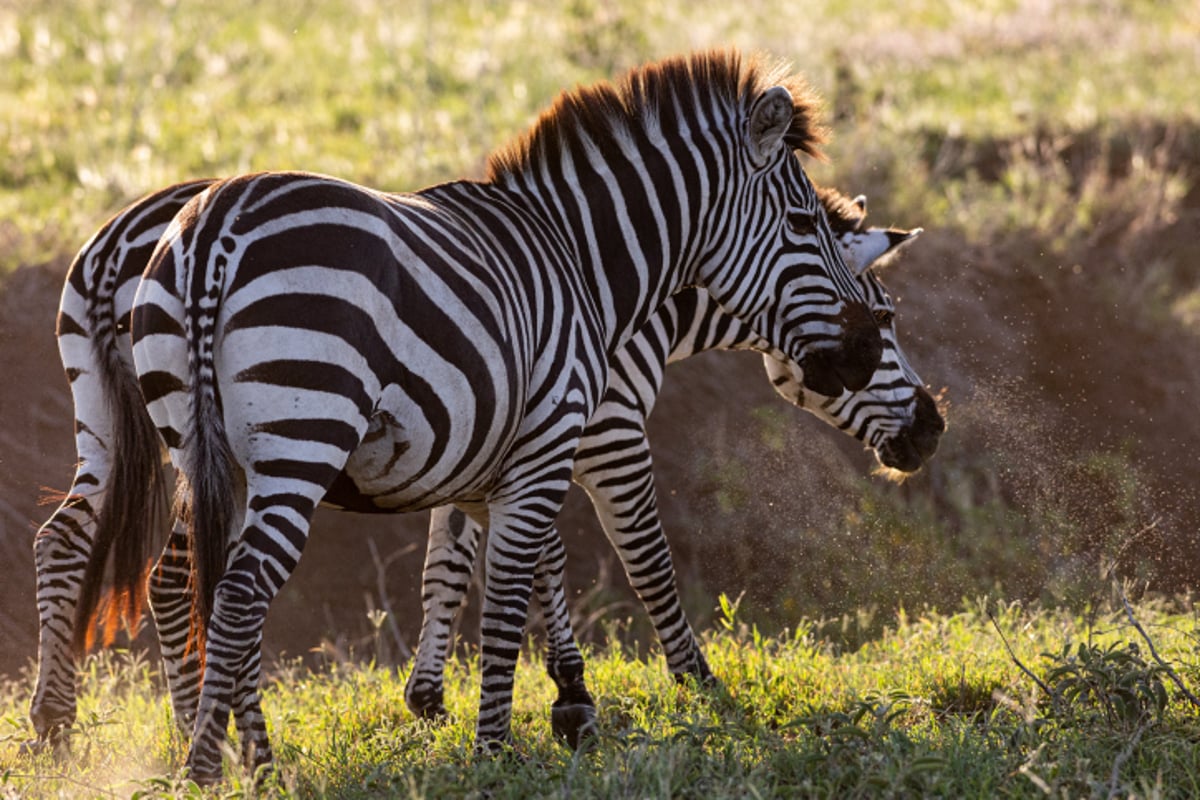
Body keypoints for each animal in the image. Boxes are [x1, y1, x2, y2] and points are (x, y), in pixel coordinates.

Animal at [403, 188, 936, 724]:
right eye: (884, 316)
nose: (934, 428)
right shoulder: (610, 433)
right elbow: (644, 561)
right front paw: (691, 684)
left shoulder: (483, 449)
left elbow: (449, 567)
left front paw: (429, 698)